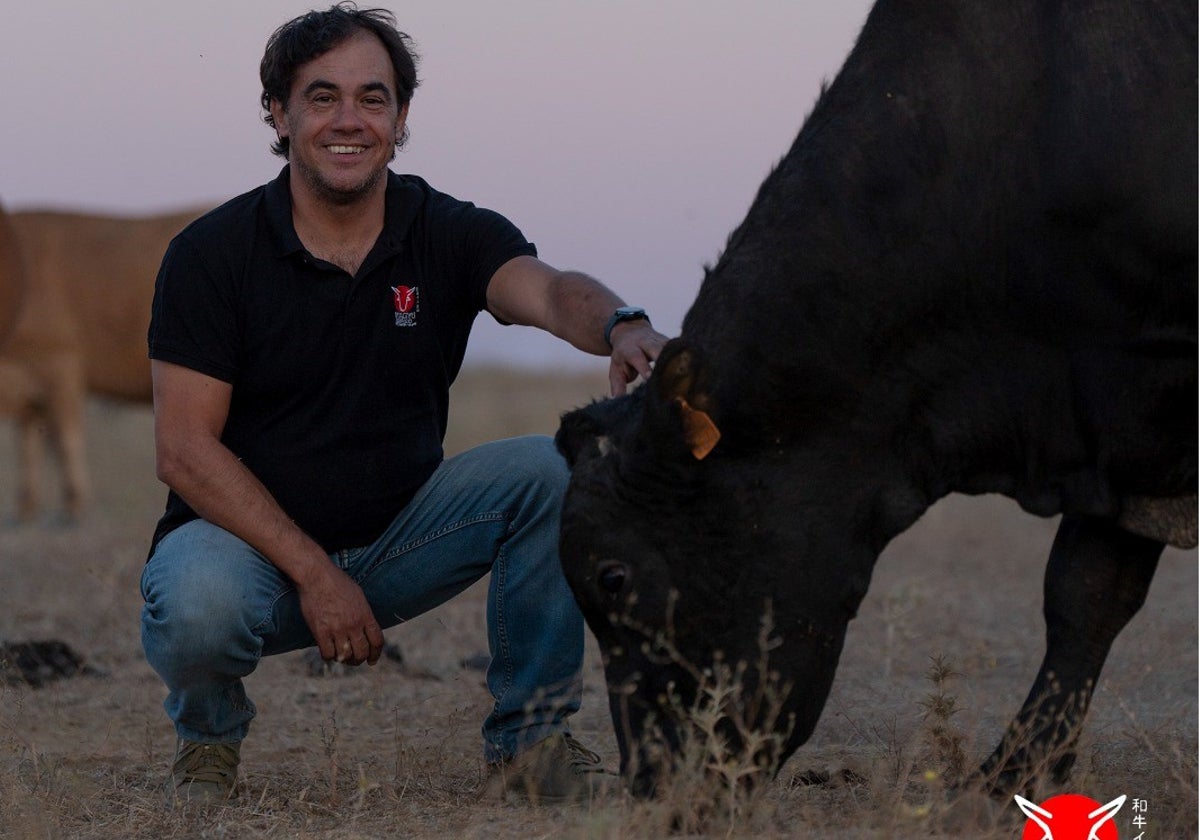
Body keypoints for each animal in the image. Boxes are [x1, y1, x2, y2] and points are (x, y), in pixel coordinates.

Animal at [0, 206, 204, 518]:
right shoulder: (29, 386)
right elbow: (27, 445)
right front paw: (26, 505)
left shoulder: (61, 363)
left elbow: (66, 440)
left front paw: (74, 503)